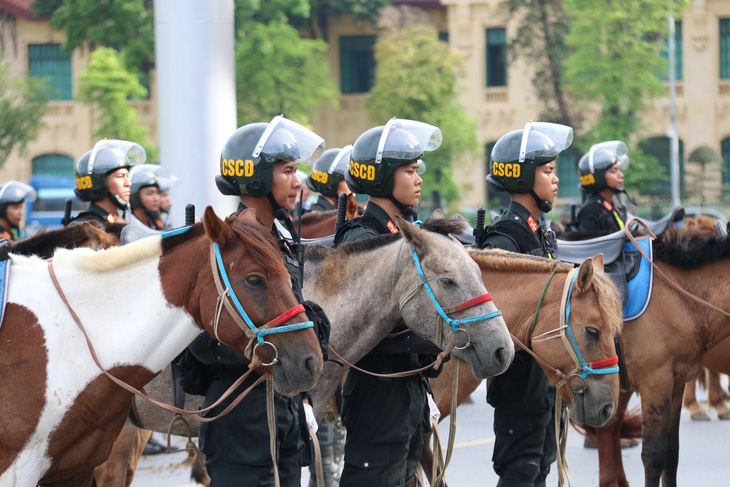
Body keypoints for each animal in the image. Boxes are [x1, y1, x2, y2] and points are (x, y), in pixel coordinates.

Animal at [584, 223, 730, 486]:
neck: (681, 297)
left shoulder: (676, 383)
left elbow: (672, 454)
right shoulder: (655, 384)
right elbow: (654, 456)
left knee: (611, 429)